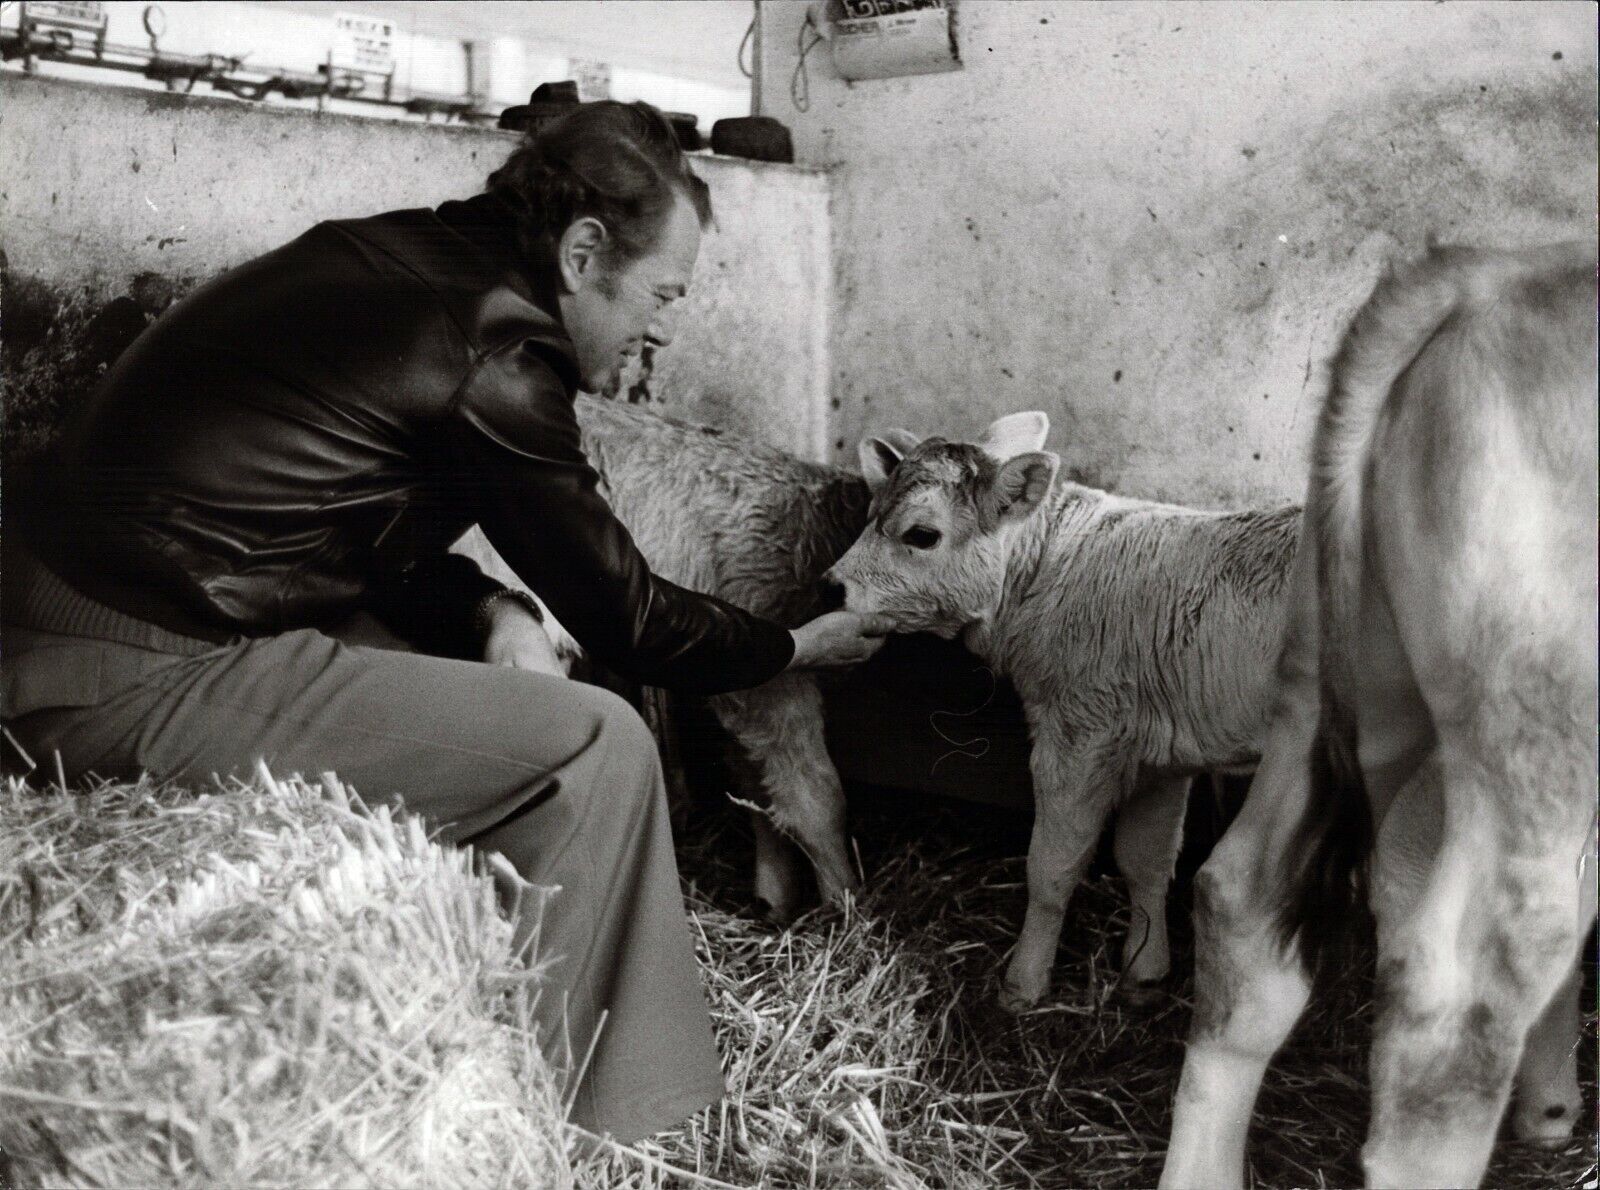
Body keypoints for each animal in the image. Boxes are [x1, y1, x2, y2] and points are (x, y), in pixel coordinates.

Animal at [825, 412, 1299, 1010]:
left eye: (921, 535)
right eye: (871, 515)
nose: (831, 588)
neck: (1041, 573)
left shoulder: (1079, 734)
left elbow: (1052, 867)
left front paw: (1022, 985)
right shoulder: (1162, 753)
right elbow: (1146, 859)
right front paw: (1144, 974)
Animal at [1164, 241, 1600, 1190]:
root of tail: (1483, 279)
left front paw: (1550, 1107)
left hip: (1334, 672)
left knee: (1240, 898)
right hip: (1537, 719)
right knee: (1463, 1000)